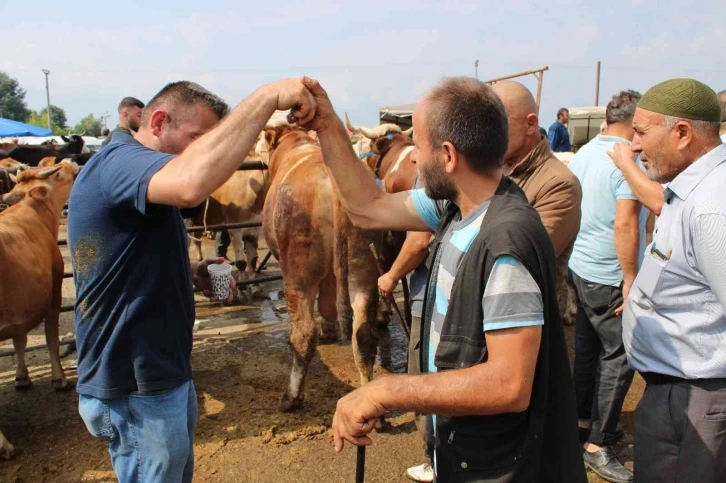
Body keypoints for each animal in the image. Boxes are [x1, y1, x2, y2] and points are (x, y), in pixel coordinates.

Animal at [0, 160, 79, 462]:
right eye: (60, 173)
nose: (72, 162)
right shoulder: (54, 294)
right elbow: (52, 341)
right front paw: (60, 379)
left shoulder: (18, 311)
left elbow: (20, 342)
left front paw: (22, 378)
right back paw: (4, 445)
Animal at [260, 124, 390, 412]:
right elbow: (329, 301)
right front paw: (330, 329)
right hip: (361, 265)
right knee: (363, 334)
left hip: (298, 270)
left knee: (304, 334)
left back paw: (291, 398)